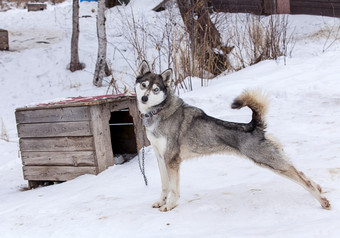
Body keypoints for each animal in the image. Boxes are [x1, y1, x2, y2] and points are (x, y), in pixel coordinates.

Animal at [135, 60, 330, 211]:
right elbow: (164, 185)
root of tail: (255, 126)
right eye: (144, 85)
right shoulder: (161, 157)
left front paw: (169, 205)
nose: (144, 98)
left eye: (155, 89)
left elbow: (173, 188)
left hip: (269, 161)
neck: (158, 112)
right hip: (275, 160)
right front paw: (161, 202)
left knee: (302, 179)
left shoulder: (172, 160)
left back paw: (323, 201)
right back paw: (319, 188)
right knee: (301, 173)